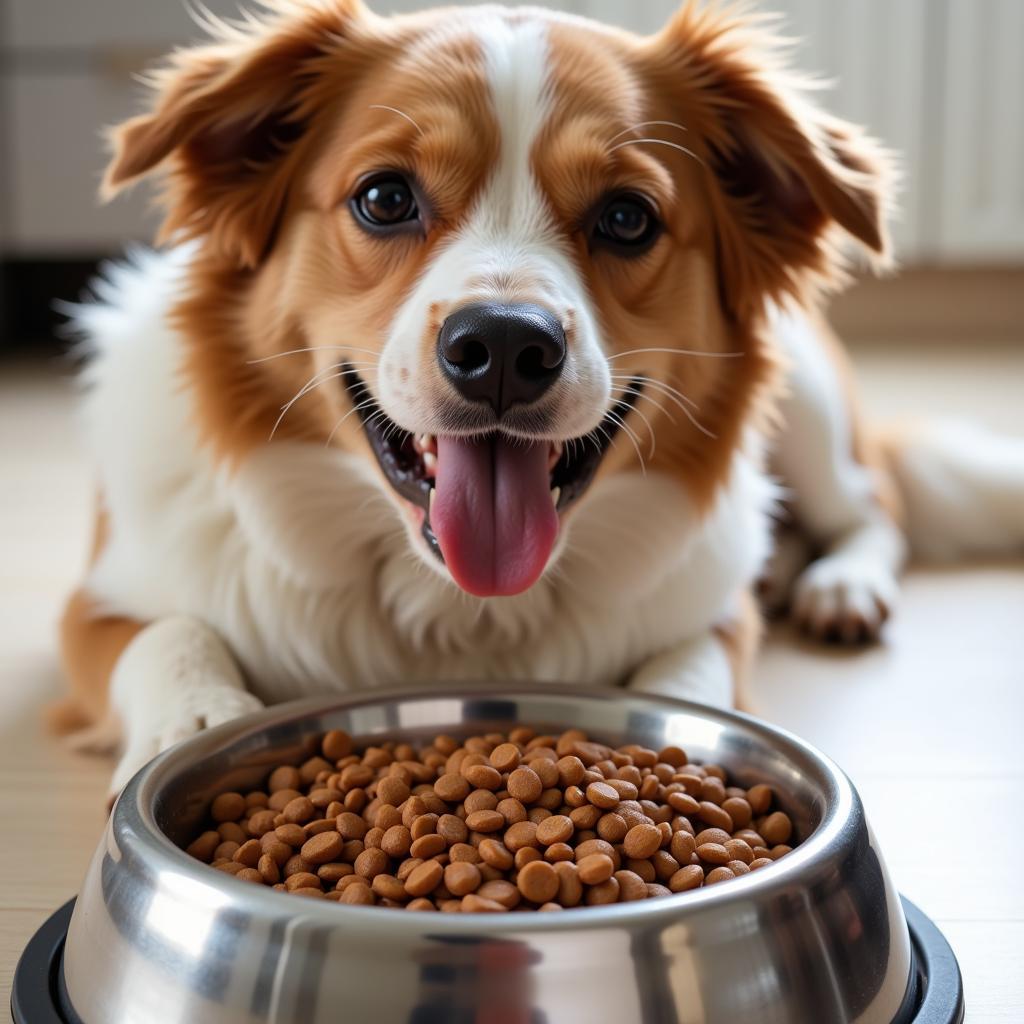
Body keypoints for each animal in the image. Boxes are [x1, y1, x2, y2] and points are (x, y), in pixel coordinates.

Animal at [54, 0, 1024, 794]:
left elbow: (691, 669)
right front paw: (197, 722)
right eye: (384, 198)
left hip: (813, 403)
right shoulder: (99, 600)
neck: (454, 606)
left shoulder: (715, 614)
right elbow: (169, 634)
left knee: (874, 503)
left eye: (628, 217)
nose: (504, 349)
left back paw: (838, 584)